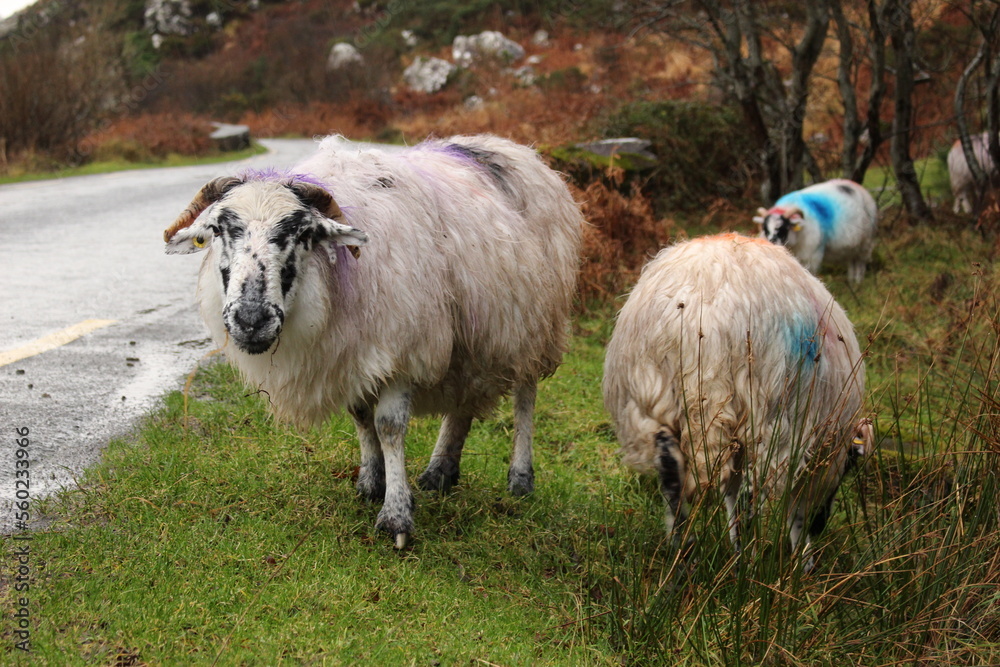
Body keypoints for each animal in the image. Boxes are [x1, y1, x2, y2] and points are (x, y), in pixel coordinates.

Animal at [163, 135, 583, 548]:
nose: (251, 320)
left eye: (303, 232)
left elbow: (389, 427)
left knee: (525, 397)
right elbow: (361, 418)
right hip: (473, 332)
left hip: (535, 325)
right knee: (462, 401)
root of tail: (510, 146)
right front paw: (370, 482)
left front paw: (396, 515)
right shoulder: (352, 354)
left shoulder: (403, 349)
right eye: (217, 229)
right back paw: (440, 471)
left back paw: (520, 478)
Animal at [603, 233, 871, 569]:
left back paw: (685, 555)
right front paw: (801, 561)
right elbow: (786, 507)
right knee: (751, 492)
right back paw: (748, 562)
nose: (820, 524)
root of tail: (704, 313)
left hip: (651, 395)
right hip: (770, 411)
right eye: (849, 467)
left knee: (671, 472)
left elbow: (731, 492)